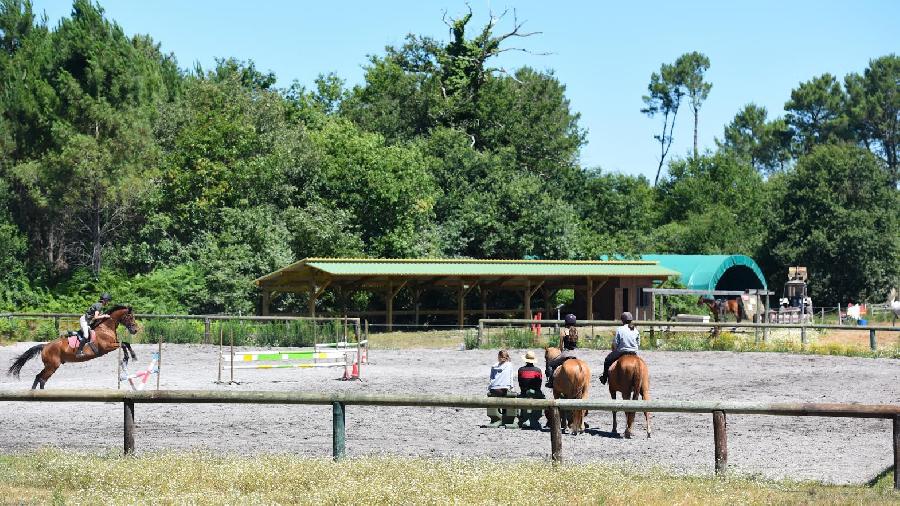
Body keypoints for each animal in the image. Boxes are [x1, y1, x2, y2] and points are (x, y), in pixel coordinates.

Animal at [7, 304, 139, 392]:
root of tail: (45, 346)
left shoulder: (113, 343)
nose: (135, 330)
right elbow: (123, 344)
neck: (105, 327)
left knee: (39, 377)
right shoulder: (107, 347)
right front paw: (129, 357)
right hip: (52, 366)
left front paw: (131, 357)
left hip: (51, 366)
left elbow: (126, 343)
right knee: (42, 378)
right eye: (130, 316)